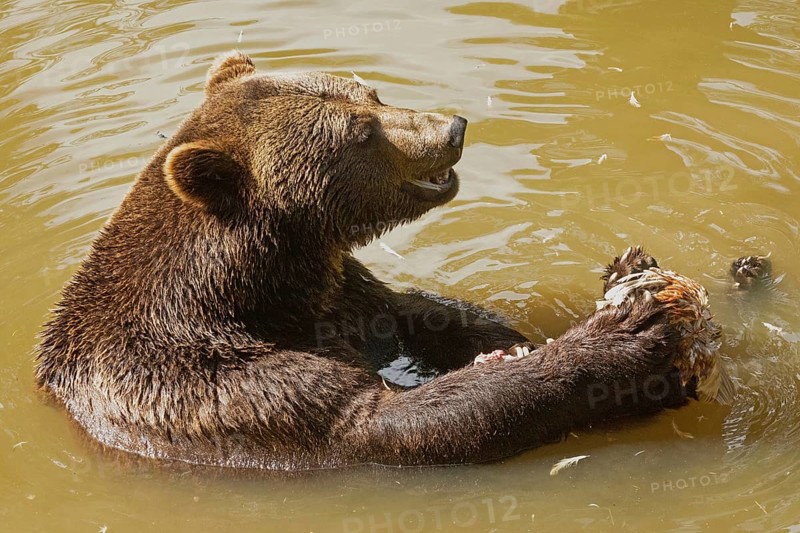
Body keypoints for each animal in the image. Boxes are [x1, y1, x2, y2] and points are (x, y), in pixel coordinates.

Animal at [36, 51, 686, 470]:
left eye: (372, 93)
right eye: (359, 132)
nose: (453, 126)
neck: (256, 286)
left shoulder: (339, 286)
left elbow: (412, 313)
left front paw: (521, 337)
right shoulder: (215, 385)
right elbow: (388, 420)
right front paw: (626, 333)